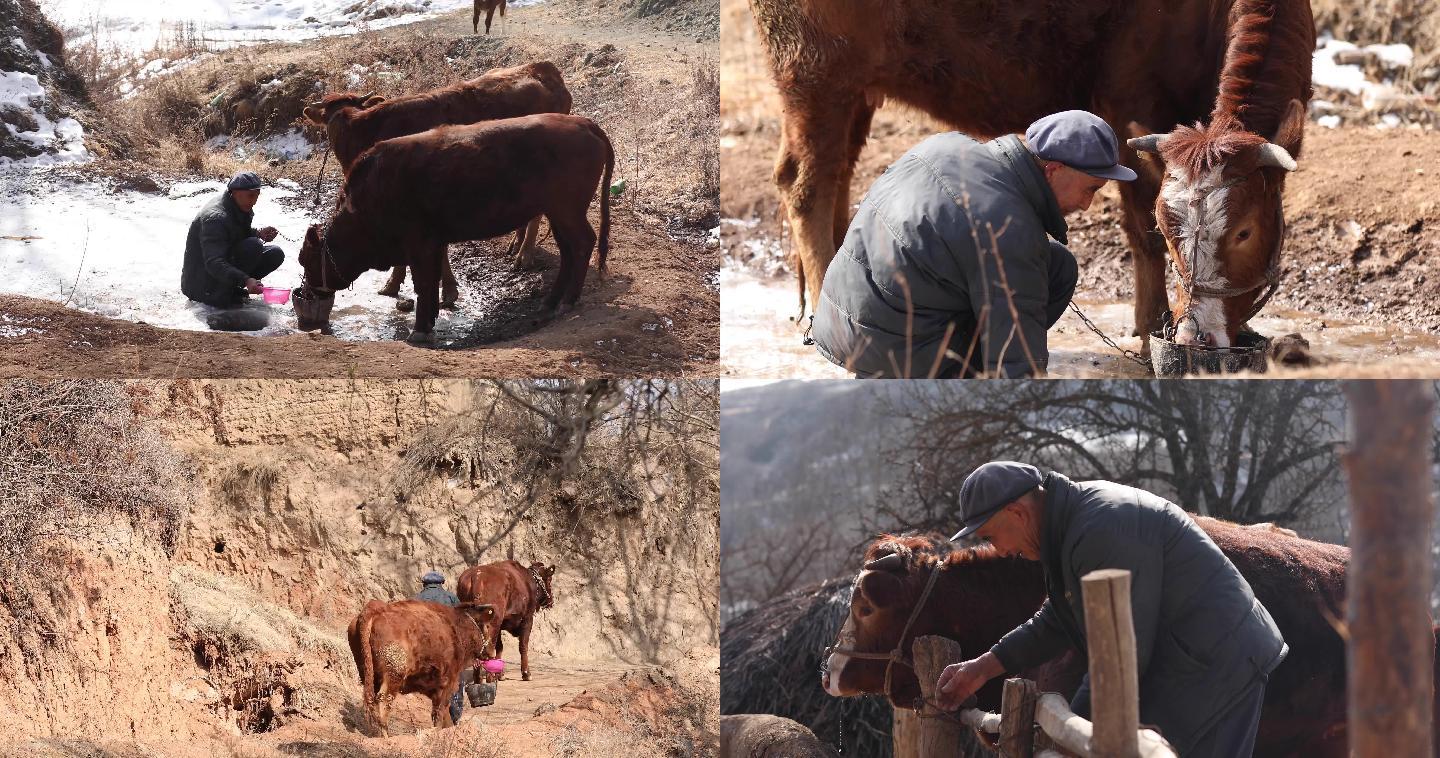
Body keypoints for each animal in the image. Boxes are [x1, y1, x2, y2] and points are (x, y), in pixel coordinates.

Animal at [298, 115, 613, 344]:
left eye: (306, 260)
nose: (308, 293)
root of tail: (584, 123)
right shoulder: (434, 243)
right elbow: (431, 281)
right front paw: (431, 319)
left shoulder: (420, 245)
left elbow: (424, 284)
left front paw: (420, 331)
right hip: (558, 214)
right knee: (569, 251)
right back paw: (549, 302)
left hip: (567, 212)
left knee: (583, 244)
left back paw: (567, 301)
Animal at [347, 599, 501, 737]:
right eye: (487, 626)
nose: (492, 652)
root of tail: (376, 608)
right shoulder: (448, 683)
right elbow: (439, 712)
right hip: (393, 675)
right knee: (384, 700)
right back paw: (385, 736)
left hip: (367, 673)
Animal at [754, 0, 1319, 353]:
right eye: (1169, 223)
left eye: (1244, 230)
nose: (1197, 337)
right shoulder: (1127, 106)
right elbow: (1139, 227)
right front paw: (1151, 327)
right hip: (815, 73)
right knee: (806, 183)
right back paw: (821, 298)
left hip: (853, 91)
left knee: (832, 175)